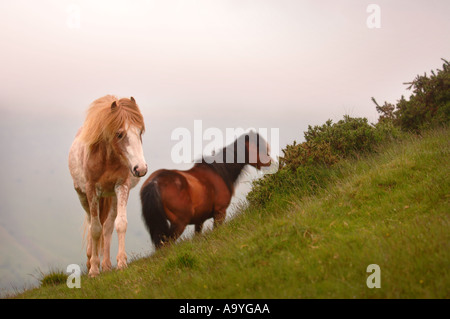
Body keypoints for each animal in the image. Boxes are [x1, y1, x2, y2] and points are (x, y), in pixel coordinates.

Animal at [68, 94, 148, 278]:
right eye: (119, 134)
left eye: (140, 131)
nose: (140, 168)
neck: (107, 159)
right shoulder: (91, 191)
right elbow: (95, 229)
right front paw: (93, 270)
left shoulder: (122, 187)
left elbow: (120, 224)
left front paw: (121, 263)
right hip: (83, 196)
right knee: (92, 223)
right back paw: (91, 261)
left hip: (112, 197)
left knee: (108, 227)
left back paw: (106, 264)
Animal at [141, 131, 272, 249]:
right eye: (258, 147)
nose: (269, 162)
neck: (218, 172)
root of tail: (154, 182)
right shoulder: (220, 212)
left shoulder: (199, 220)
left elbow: (197, 237)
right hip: (179, 224)